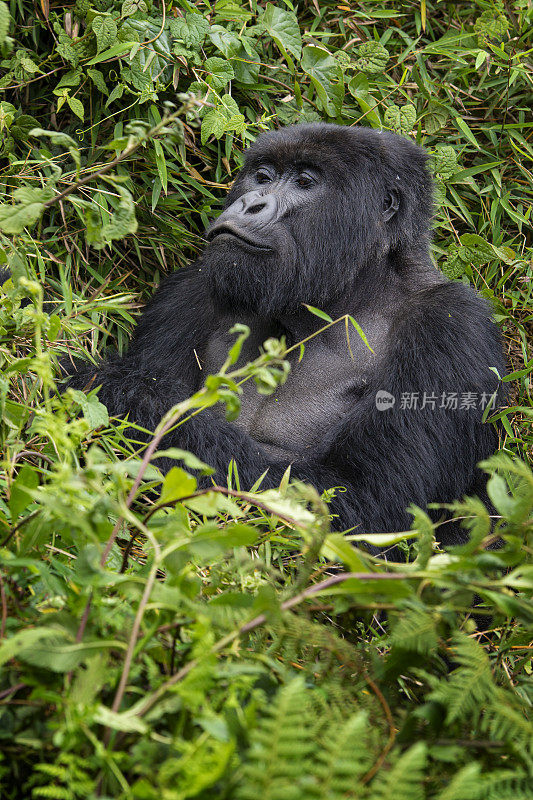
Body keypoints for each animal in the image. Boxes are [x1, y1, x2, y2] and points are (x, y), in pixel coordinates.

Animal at [65, 123, 502, 536]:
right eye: (262, 176)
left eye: (304, 182)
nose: (250, 203)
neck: (351, 296)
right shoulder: (191, 287)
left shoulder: (451, 327)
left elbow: (363, 505)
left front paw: (119, 391)